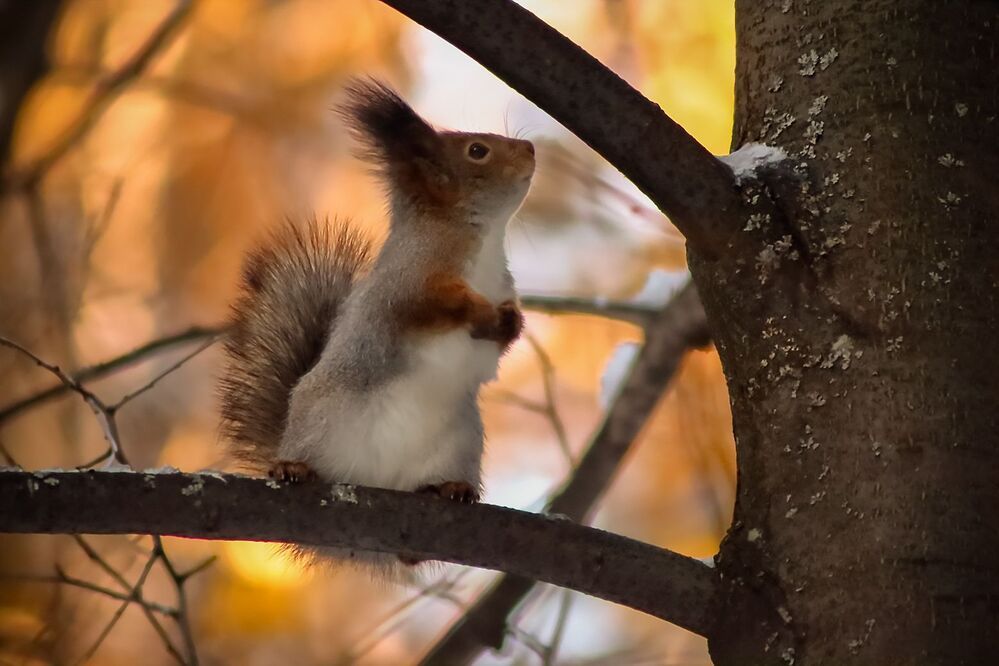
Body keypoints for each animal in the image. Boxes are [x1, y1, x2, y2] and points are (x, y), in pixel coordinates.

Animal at [217, 79, 534, 566]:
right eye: (477, 150)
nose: (532, 149)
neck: (482, 239)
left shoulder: (501, 286)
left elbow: (500, 340)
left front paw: (511, 322)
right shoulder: (407, 283)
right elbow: (429, 305)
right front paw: (478, 312)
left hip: (462, 440)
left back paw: (450, 489)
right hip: (321, 419)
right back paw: (293, 466)